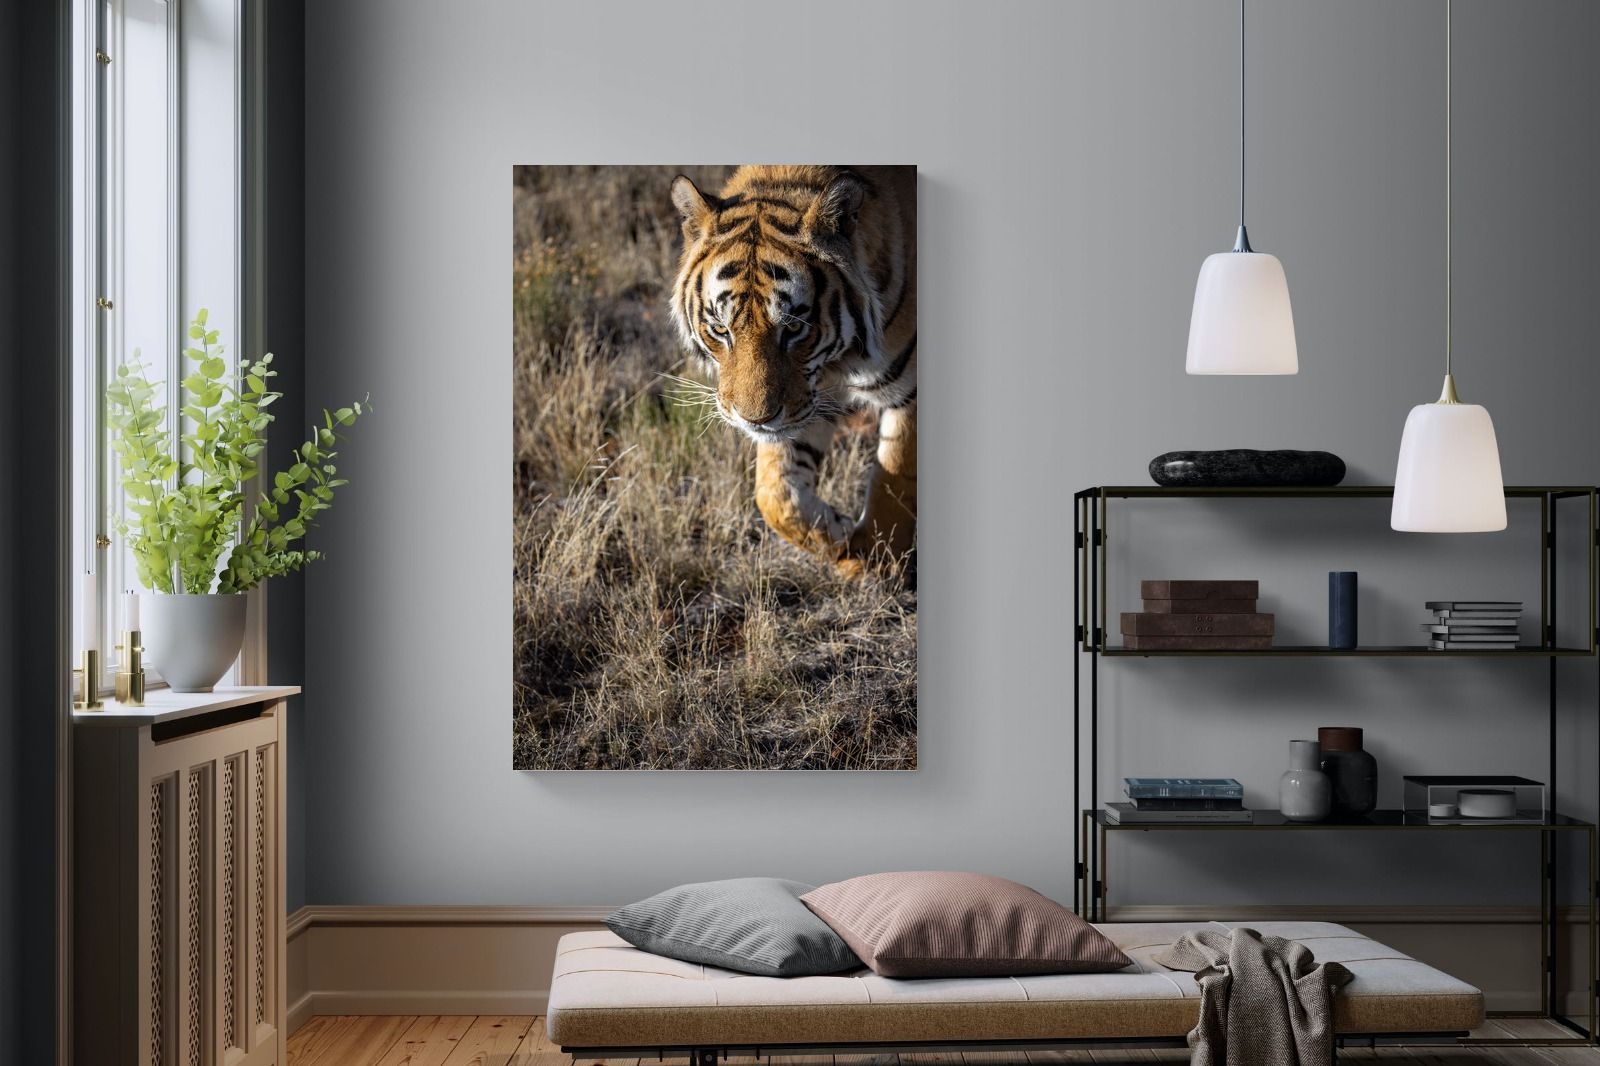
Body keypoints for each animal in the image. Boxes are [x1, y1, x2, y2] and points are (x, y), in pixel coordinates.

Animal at [668, 165, 917, 575]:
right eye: (721, 329)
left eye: (794, 327)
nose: (754, 420)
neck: (839, 362)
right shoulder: (808, 400)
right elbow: (774, 494)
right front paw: (839, 534)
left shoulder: (910, 392)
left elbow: (893, 479)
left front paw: (876, 563)